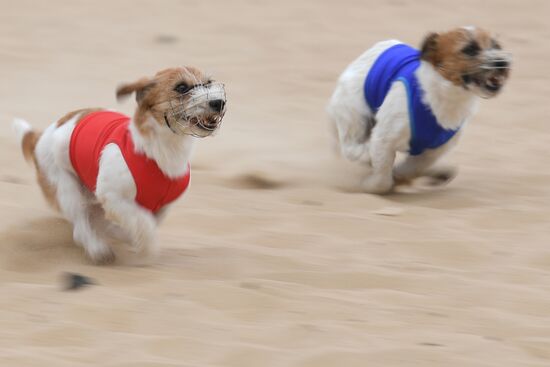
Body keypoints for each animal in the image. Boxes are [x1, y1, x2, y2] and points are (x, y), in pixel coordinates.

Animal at [14, 67, 227, 264]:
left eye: (208, 83)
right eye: (182, 87)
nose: (219, 103)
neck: (159, 150)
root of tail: (42, 135)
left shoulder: (163, 206)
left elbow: (148, 221)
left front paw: (120, 232)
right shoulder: (113, 197)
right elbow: (143, 222)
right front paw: (144, 246)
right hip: (65, 188)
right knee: (80, 225)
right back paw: (97, 248)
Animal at [328, 28, 512, 196]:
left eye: (496, 46)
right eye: (469, 49)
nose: (502, 62)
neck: (443, 97)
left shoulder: (436, 149)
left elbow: (413, 167)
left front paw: (401, 177)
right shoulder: (384, 138)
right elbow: (382, 180)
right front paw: (372, 185)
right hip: (354, 115)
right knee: (350, 147)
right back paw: (364, 154)